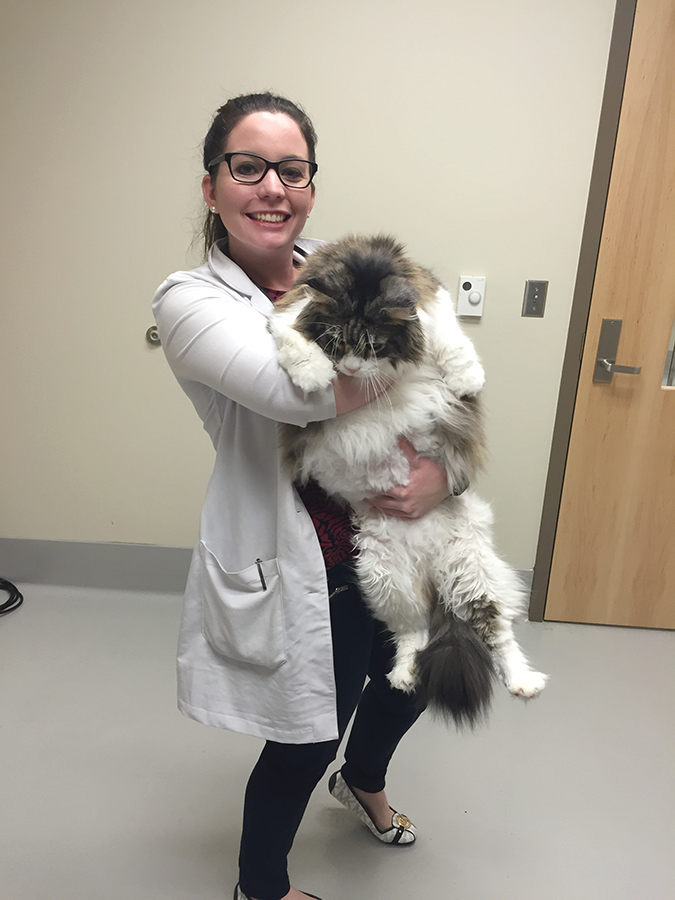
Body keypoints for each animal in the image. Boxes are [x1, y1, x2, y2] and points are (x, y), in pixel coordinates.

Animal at [269, 234, 547, 727]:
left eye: (374, 345)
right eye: (336, 342)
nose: (350, 372)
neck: (364, 266)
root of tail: (432, 571)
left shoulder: (433, 303)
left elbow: (451, 339)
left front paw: (467, 377)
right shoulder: (285, 310)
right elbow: (291, 337)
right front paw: (313, 372)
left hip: (473, 575)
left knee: (498, 634)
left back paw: (524, 683)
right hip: (385, 578)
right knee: (412, 633)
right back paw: (402, 675)